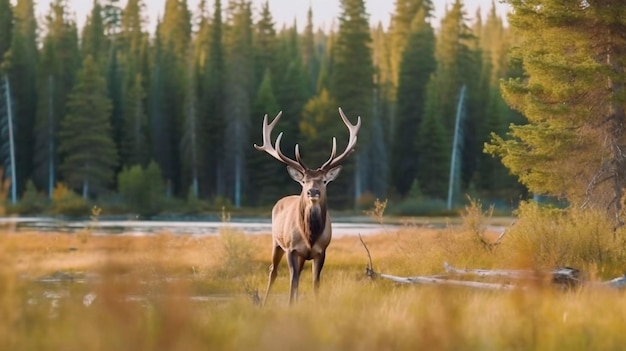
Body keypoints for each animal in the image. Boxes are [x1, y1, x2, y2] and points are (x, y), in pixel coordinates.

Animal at [254, 107, 360, 306]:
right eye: (304, 181)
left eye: (324, 181)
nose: (313, 192)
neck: (310, 235)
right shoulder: (291, 248)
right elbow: (293, 281)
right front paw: (290, 306)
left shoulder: (321, 251)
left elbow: (315, 282)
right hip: (276, 242)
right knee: (273, 271)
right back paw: (264, 302)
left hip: (302, 256)